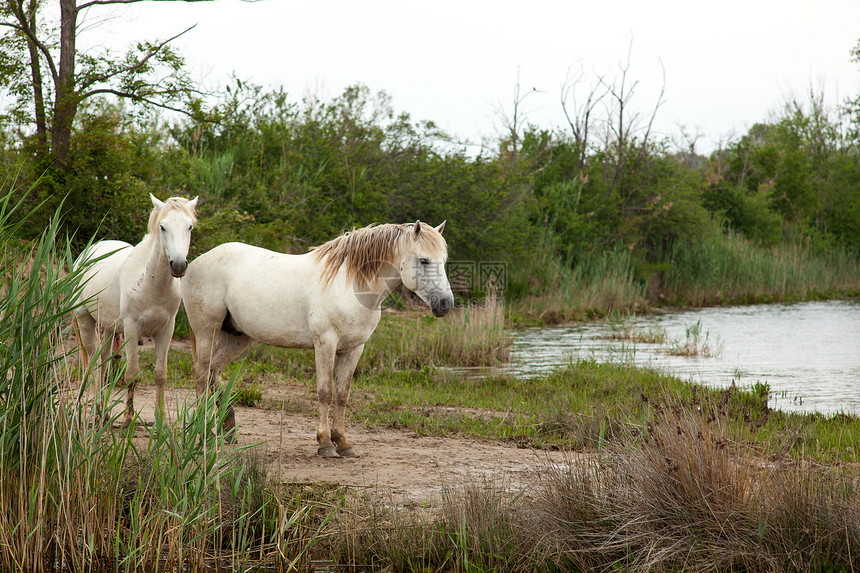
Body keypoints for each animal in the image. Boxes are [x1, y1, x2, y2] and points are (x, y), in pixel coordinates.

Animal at [74, 194, 199, 426]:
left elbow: (160, 374)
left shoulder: (166, 330)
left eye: (190, 226)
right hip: (85, 320)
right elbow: (132, 373)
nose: (178, 265)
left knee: (103, 363)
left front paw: (161, 420)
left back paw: (102, 412)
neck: (151, 283)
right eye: (163, 227)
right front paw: (128, 418)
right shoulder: (132, 328)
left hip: (109, 328)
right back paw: (89, 411)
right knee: (92, 362)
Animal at [182, 219, 456, 456]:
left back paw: (227, 428)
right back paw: (205, 433)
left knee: (214, 370)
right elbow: (325, 391)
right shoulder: (325, 343)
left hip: (238, 336)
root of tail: (195, 262)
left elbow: (343, 394)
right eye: (424, 260)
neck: (352, 286)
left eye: (443, 260)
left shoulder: (354, 349)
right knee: (201, 373)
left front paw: (343, 443)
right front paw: (325, 444)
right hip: (207, 332)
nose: (445, 304)